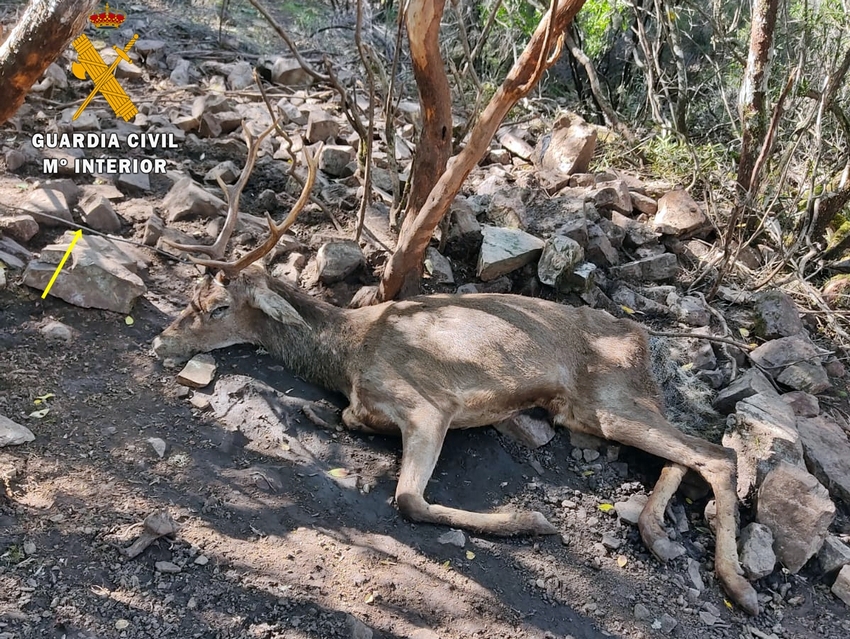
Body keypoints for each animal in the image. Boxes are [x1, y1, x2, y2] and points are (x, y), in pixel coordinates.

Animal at [152, 127, 759, 617]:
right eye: (191, 297)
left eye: (216, 307)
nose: (161, 339)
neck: (345, 357)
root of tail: (643, 337)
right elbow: (351, 424)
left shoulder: (428, 404)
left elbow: (407, 500)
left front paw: (530, 521)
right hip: (589, 410)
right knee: (684, 453)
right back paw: (658, 534)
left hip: (609, 396)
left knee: (719, 454)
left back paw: (738, 585)